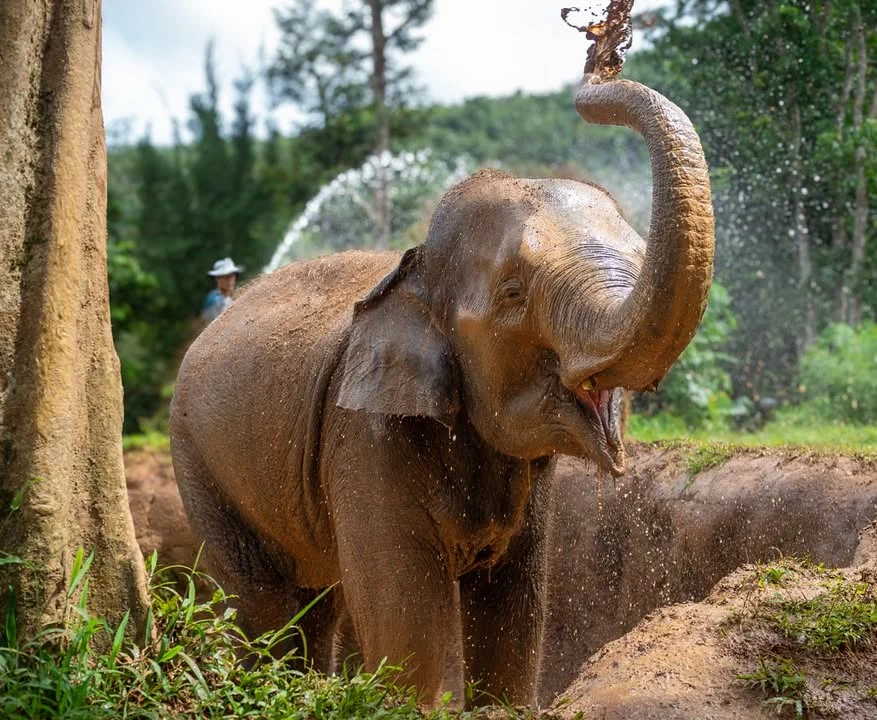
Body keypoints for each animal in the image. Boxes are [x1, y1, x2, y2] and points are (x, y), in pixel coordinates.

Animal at [169, 72, 714, 707]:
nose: (594, 73)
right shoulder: (363, 431)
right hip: (201, 465)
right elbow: (408, 623)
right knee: (264, 605)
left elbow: (514, 608)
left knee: (316, 603)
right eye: (512, 295)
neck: (418, 270)